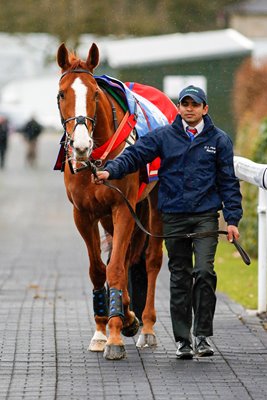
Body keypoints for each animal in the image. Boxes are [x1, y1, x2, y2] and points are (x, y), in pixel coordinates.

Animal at [56, 42, 176, 360]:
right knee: (124, 255)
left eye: (95, 94)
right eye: (62, 94)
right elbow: (99, 268)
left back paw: (146, 326)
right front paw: (102, 329)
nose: (80, 146)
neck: (97, 159)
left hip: (154, 202)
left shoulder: (123, 207)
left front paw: (115, 336)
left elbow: (117, 268)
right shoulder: (83, 213)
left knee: (150, 259)